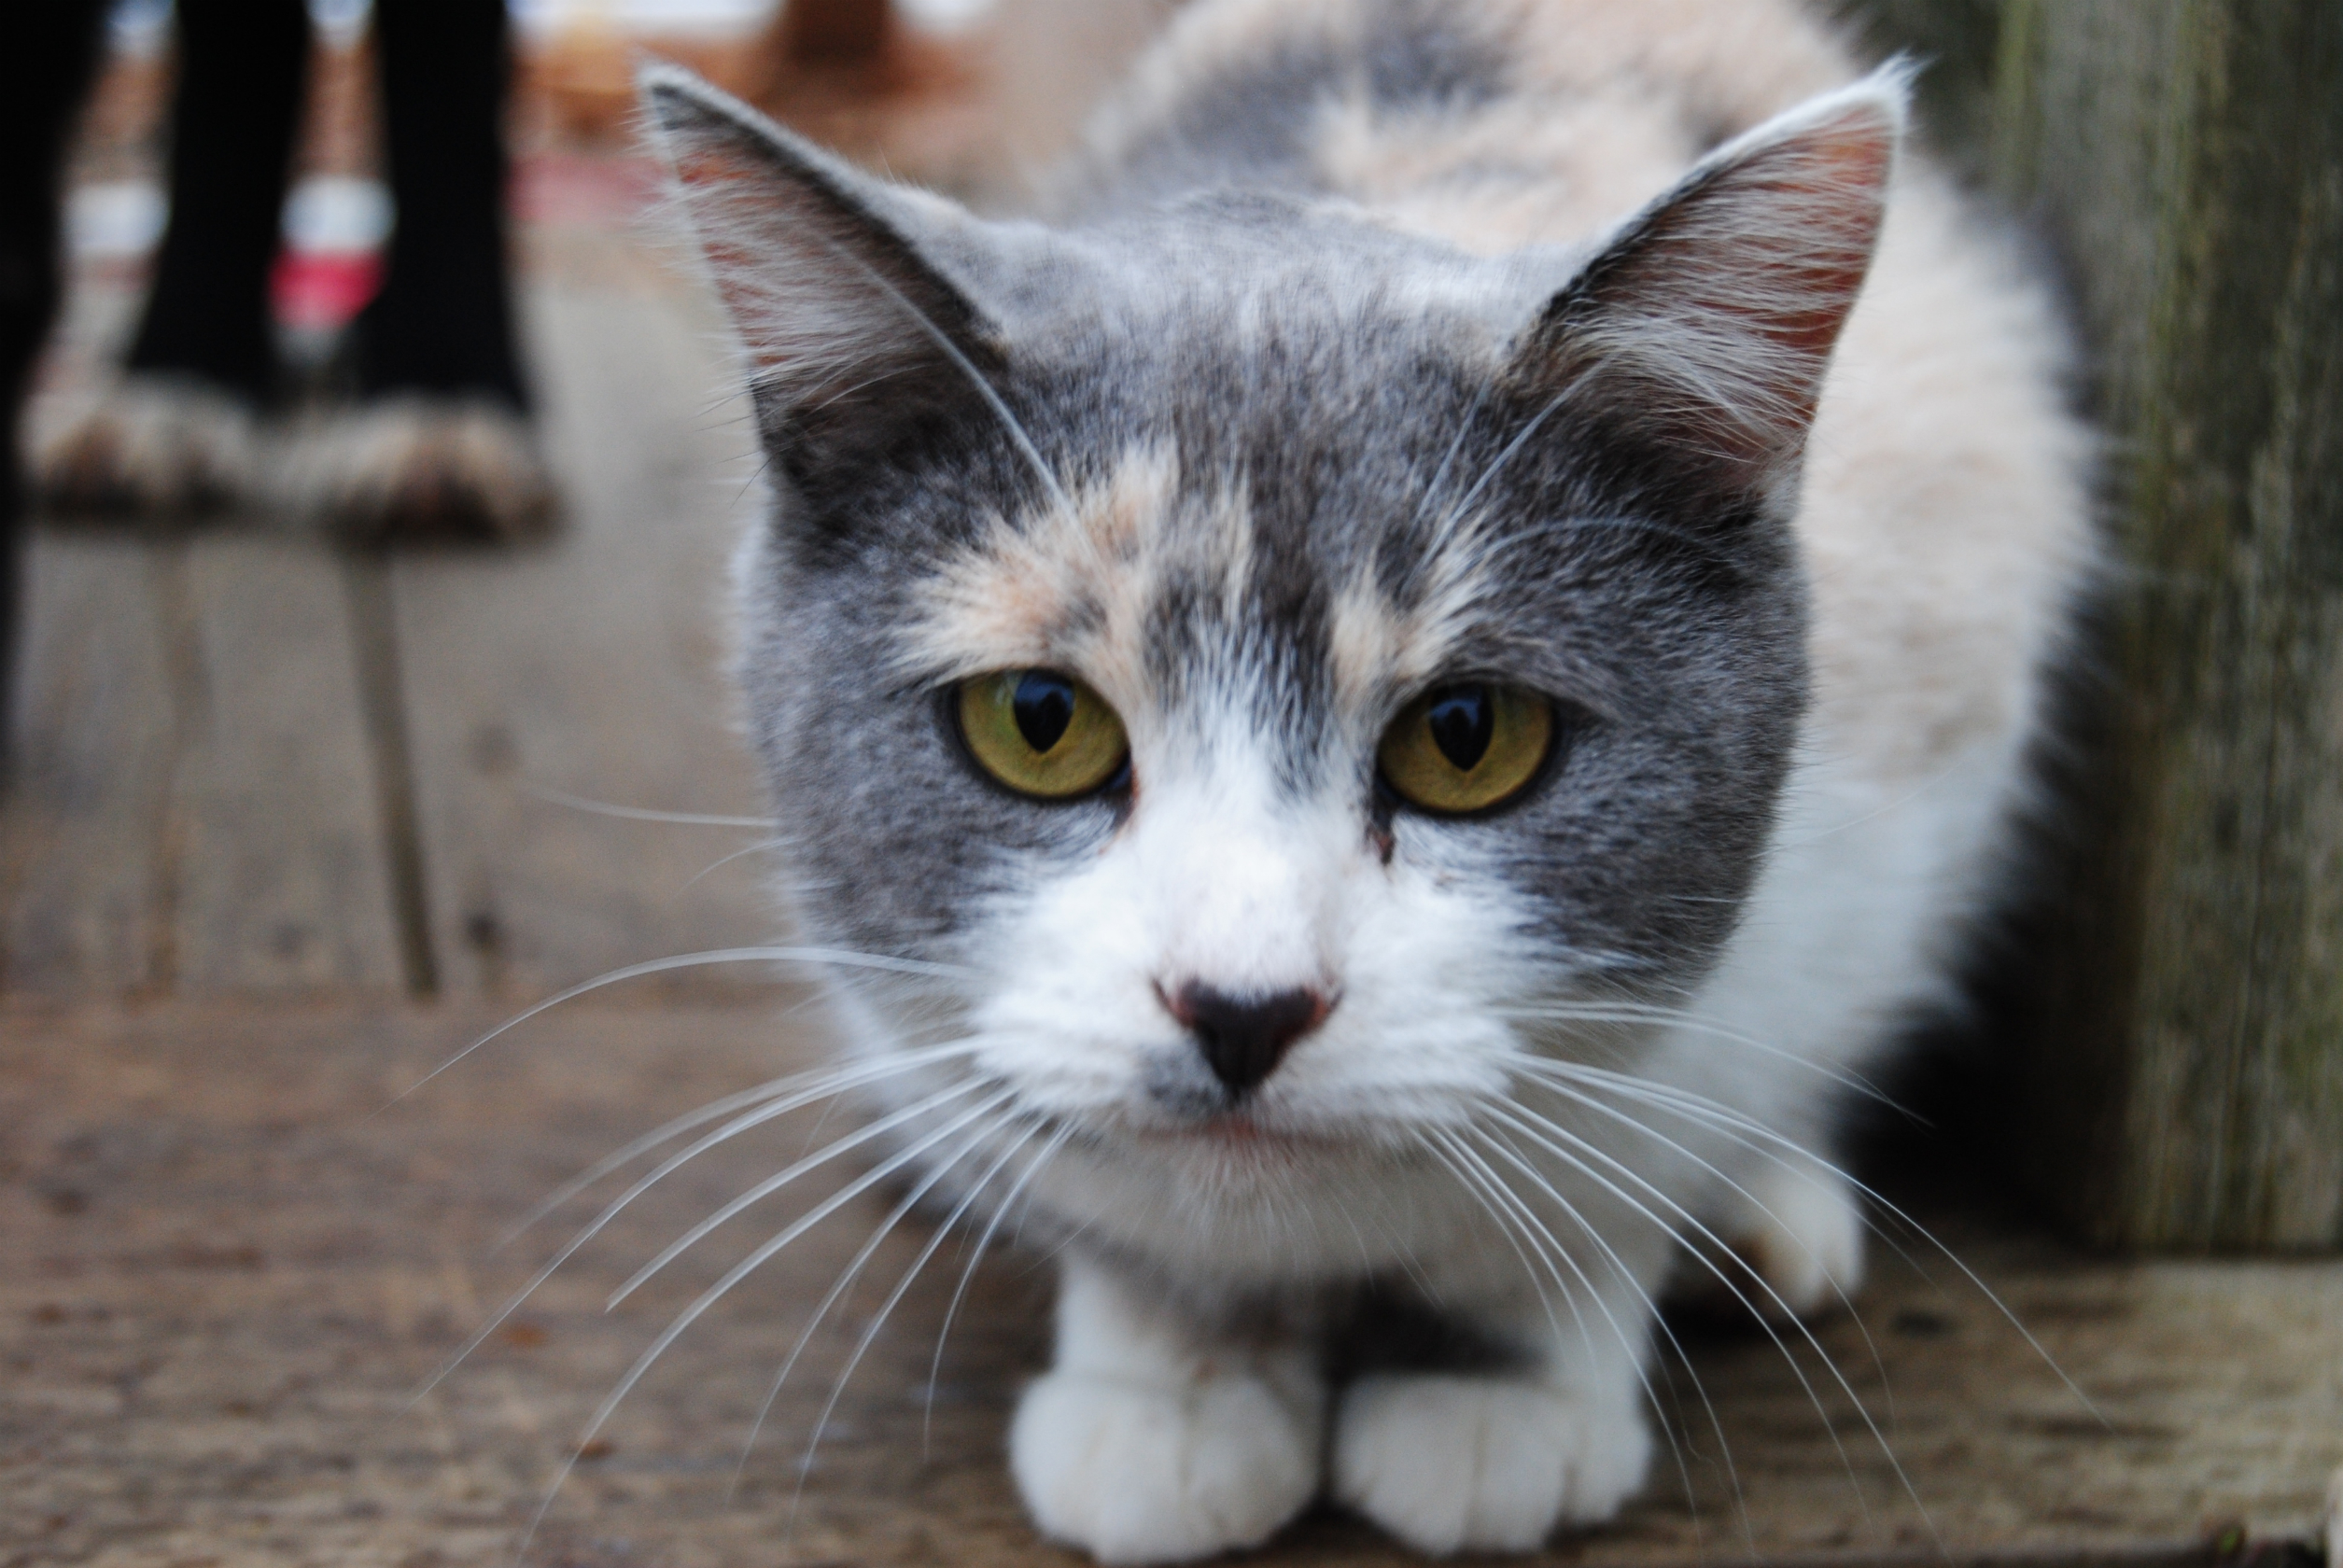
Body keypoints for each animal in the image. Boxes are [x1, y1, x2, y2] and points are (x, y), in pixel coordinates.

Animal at [637, 3, 2089, 1556]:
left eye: (1467, 735)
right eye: (1037, 721)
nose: (1242, 1007)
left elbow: (1610, 1182)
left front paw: (1502, 1393)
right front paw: (1171, 1390)